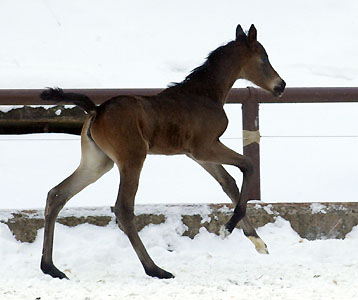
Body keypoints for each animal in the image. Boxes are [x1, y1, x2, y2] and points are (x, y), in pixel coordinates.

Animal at [39, 24, 286, 278]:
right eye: (264, 58)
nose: (281, 85)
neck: (205, 94)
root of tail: (97, 110)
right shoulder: (205, 147)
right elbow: (248, 165)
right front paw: (228, 228)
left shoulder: (198, 154)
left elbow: (228, 182)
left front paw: (257, 241)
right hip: (132, 158)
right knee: (123, 208)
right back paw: (155, 269)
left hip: (97, 162)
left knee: (57, 195)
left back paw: (51, 268)